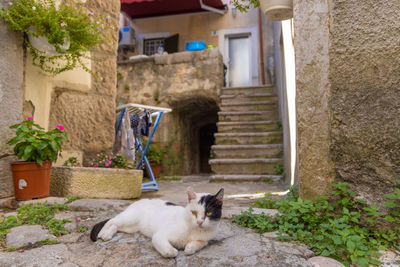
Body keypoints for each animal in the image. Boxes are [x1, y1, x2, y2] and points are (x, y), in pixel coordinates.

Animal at [88, 187, 223, 258]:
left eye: (208, 213)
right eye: (194, 213)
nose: (200, 221)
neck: (195, 230)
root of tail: (141, 200)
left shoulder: (205, 239)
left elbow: (201, 243)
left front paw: (190, 247)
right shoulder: (159, 235)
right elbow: (164, 245)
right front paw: (172, 251)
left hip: (131, 227)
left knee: (116, 225)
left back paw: (108, 234)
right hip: (130, 217)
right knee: (111, 221)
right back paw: (103, 234)